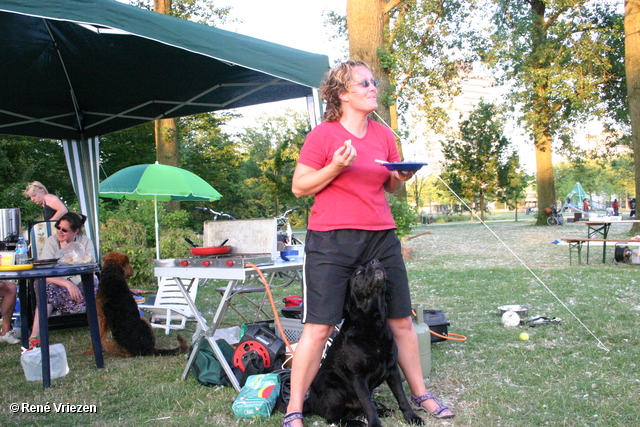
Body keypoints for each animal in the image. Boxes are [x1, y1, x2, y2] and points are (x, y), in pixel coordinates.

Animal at [302, 260, 422, 426]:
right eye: (358, 272)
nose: (375, 260)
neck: (373, 323)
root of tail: (310, 403)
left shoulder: (392, 369)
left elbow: (401, 397)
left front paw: (411, 417)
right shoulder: (358, 376)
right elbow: (368, 404)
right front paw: (375, 424)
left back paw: (383, 410)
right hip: (333, 388)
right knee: (333, 418)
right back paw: (358, 422)